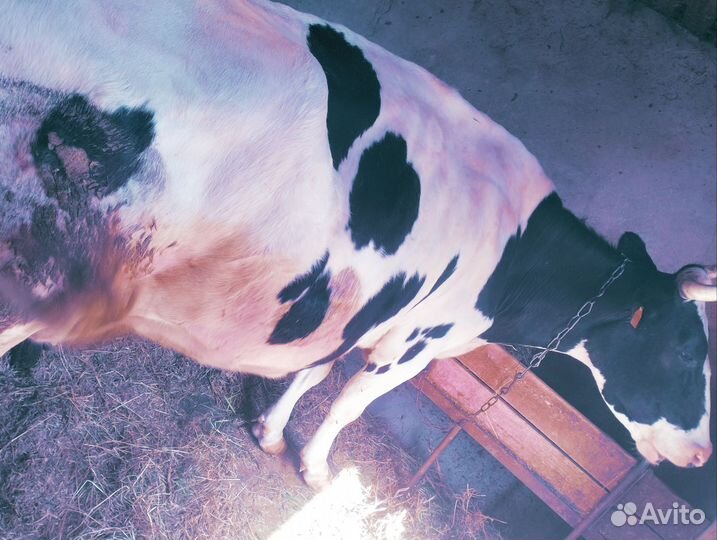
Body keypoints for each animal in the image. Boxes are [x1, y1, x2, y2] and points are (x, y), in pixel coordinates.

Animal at [0, 0, 714, 490]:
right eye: (688, 349)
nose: (703, 454)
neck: (515, 258)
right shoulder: (414, 341)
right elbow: (348, 404)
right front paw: (315, 469)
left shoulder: (356, 309)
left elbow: (312, 370)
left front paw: (268, 433)